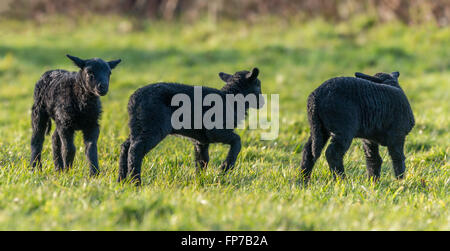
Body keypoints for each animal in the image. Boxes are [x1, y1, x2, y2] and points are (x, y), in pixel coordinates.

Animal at [118, 67, 264, 185]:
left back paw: (121, 181)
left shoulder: (201, 141)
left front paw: (200, 181)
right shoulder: (215, 131)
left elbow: (202, 161)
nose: (263, 102)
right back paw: (136, 182)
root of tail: (133, 100)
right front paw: (225, 168)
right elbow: (237, 141)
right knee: (135, 149)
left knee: (126, 146)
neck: (231, 99)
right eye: (258, 85)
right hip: (153, 126)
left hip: (139, 125)